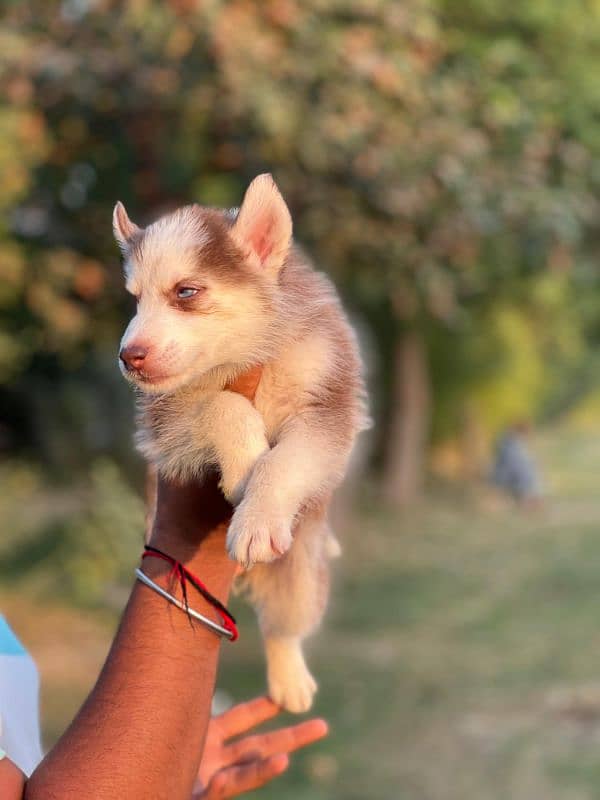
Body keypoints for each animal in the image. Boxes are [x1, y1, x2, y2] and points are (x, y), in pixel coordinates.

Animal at [112, 175, 366, 712]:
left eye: (186, 292)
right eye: (135, 300)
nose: (128, 356)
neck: (241, 356)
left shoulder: (327, 411)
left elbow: (285, 461)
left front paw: (258, 518)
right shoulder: (166, 427)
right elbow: (222, 405)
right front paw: (246, 461)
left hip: (300, 572)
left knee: (283, 624)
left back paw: (290, 679)